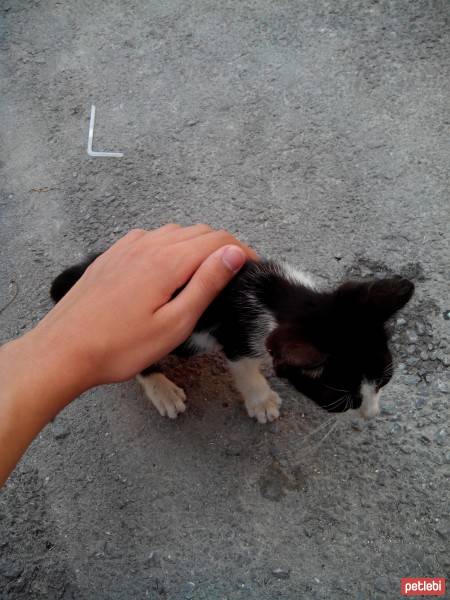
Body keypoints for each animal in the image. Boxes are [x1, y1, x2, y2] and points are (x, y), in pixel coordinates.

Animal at [50, 256, 414, 422]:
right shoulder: (233, 333)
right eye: (343, 401)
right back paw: (162, 389)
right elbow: (242, 365)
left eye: (385, 380)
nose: (372, 414)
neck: (282, 297)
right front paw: (261, 400)